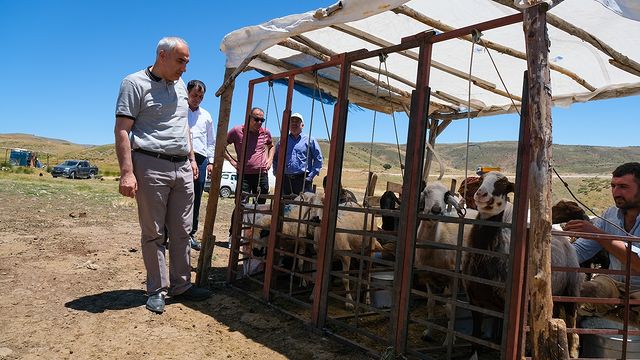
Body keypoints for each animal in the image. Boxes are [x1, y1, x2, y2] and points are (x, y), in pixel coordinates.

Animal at [462, 173, 584, 356]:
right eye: (481, 179)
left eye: (503, 183)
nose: (481, 194)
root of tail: (565, 240)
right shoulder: (475, 300)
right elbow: (475, 337)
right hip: (554, 296)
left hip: (571, 292)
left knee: (573, 330)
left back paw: (572, 351)